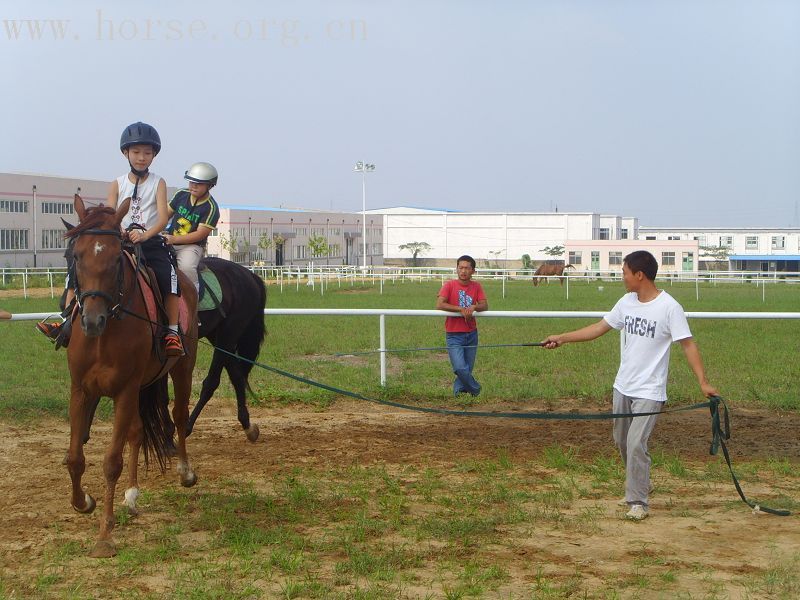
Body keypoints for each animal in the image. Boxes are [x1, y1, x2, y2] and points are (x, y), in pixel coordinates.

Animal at [63, 196, 199, 556]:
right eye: (76, 256)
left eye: (115, 258)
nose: (92, 320)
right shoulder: (81, 391)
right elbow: (75, 458)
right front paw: (84, 502)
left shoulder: (124, 390)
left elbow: (112, 461)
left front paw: (104, 537)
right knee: (137, 432)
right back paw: (132, 495)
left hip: (182, 368)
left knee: (179, 416)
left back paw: (185, 472)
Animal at [184, 258, 266, 440]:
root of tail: (248, 274)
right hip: (217, 335)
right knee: (237, 375)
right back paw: (247, 425)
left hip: (228, 333)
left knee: (212, 382)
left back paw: (185, 428)